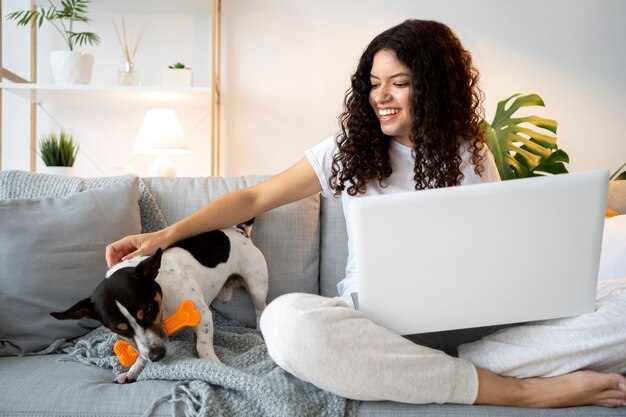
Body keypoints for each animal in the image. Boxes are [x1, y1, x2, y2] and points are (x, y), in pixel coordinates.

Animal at [52, 221, 266, 384]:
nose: (157, 356)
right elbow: (141, 351)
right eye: (118, 330)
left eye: (148, 310)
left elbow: (203, 345)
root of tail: (239, 229)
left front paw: (212, 364)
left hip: (257, 287)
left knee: (259, 310)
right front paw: (133, 370)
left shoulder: (202, 313)